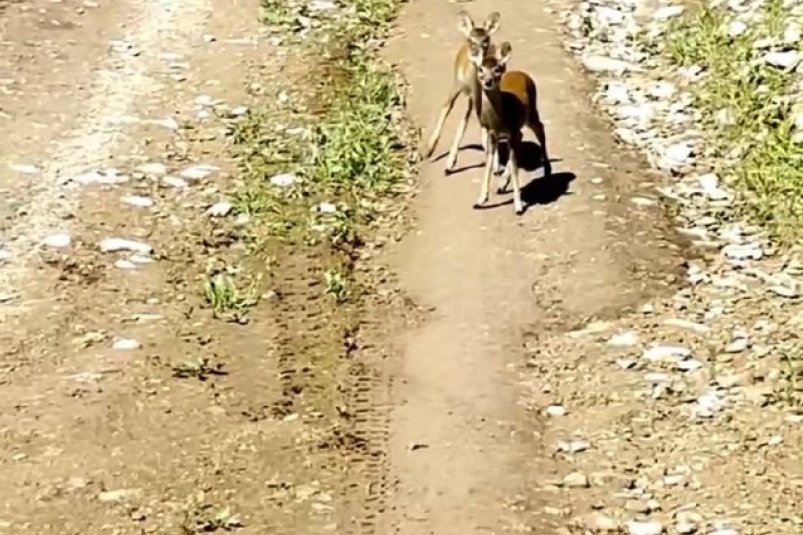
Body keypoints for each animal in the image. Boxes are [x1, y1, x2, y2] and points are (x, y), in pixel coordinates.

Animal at [424, 9, 506, 176]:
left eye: (486, 40)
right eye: (471, 40)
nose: (479, 59)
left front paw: (496, 164)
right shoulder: (458, 86)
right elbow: (448, 109)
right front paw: (438, 155)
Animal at [472, 42, 552, 217]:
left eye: (497, 69)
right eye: (481, 68)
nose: (488, 81)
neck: (499, 120)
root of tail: (521, 73)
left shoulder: (512, 130)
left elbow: (515, 167)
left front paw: (518, 206)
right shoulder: (492, 134)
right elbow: (489, 164)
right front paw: (481, 200)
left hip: (531, 113)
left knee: (540, 128)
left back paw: (547, 169)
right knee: (525, 135)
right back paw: (502, 184)